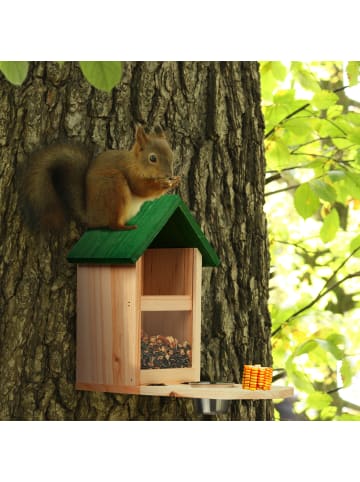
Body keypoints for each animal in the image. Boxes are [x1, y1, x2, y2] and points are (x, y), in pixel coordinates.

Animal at [23, 124, 180, 230]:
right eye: (152, 158)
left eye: (172, 153)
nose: (169, 175)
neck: (135, 163)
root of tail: (92, 216)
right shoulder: (130, 173)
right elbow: (142, 189)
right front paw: (164, 184)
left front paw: (175, 180)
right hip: (113, 187)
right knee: (112, 225)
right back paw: (124, 227)